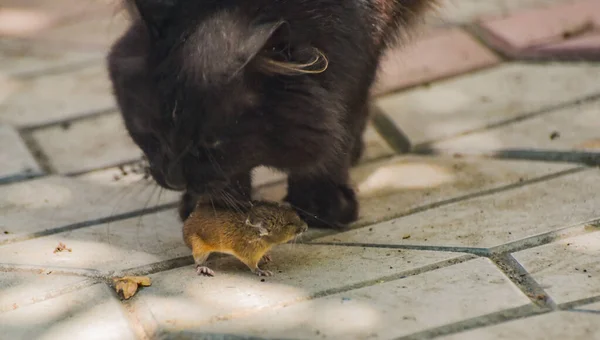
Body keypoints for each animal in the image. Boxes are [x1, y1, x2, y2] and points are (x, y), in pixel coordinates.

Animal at [106, 0, 436, 228]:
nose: (174, 180)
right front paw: (212, 206)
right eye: (152, 134)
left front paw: (321, 203)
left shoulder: (364, 46)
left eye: (211, 143)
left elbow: (340, 123)